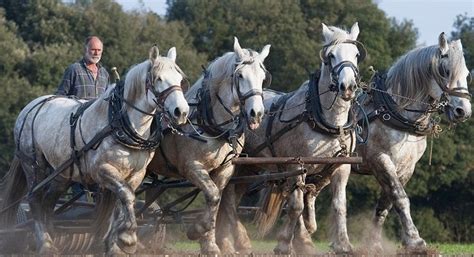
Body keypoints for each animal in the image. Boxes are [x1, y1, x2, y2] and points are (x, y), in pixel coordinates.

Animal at [0, 45, 189, 253]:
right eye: (158, 79)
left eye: (179, 79)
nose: (181, 112)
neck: (119, 123)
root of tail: (29, 107)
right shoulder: (102, 170)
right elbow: (126, 196)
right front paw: (128, 238)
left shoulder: (136, 174)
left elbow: (121, 203)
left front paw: (114, 244)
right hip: (34, 165)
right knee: (35, 199)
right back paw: (46, 244)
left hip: (62, 174)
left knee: (48, 202)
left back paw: (52, 237)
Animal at [144, 36, 272, 254]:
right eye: (240, 76)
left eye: (263, 78)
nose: (256, 113)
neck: (209, 124)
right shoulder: (192, 167)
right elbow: (212, 197)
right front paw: (196, 230)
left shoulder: (224, 169)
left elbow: (215, 201)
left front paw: (209, 244)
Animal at [216, 22, 366, 254]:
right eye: (331, 56)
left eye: (356, 54)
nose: (348, 86)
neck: (328, 122)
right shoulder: (297, 164)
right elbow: (296, 206)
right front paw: (285, 243)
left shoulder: (342, 167)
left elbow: (339, 205)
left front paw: (343, 244)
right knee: (229, 199)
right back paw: (236, 241)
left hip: (250, 168)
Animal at [298, 31, 472, 252]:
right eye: (445, 71)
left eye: (466, 73)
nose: (463, 111)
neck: (396, 111)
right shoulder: (380, 159)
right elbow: (400, 197)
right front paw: (415, 240)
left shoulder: (406, 167)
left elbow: (385, 204)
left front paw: (375, 243)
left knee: (310, 191)